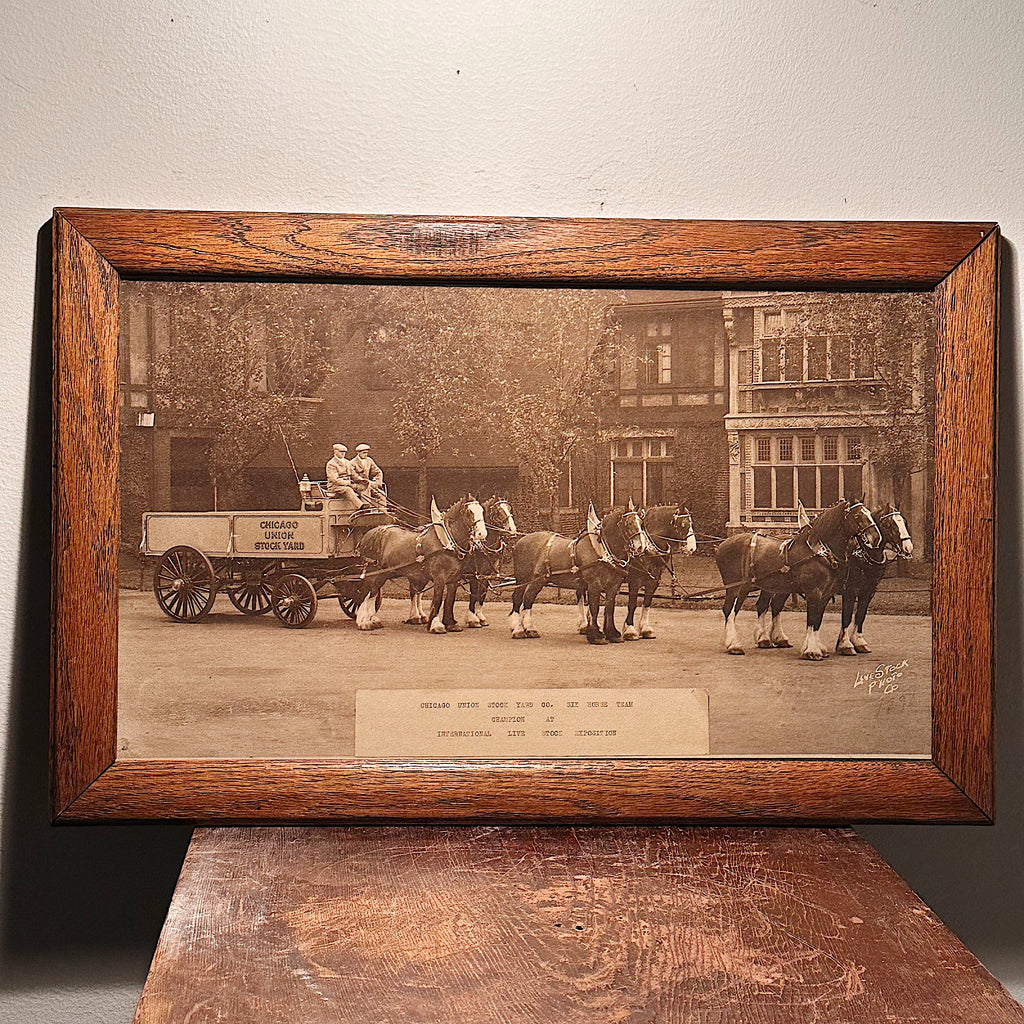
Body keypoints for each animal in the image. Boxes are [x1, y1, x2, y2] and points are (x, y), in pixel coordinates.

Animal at [356, 495, 487, 630]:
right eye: (469, 512)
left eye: (482, 510)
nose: (482, 534)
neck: (445, 541)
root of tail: (369, 534)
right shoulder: (439, 578)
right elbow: (438, 599)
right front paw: (436, 624)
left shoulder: (454, 579)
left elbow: (450, 600)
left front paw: (450, 623)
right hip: (374, 571)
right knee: (367, 593)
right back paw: (364, 621)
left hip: (383, 574)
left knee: (372, 593)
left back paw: (372, 620)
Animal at [462, 497, 516, 630]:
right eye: (498, 511)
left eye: (509, 508)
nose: (512, 530)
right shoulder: (474, 575)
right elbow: (474, 594)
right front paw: (472, 619)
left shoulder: (487, 574)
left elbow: (482, 594)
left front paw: (480, 617)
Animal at [509, 505, 651, 647]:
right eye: (628, 523)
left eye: (641, 523)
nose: (641, 547)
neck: (601, 549)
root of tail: (521, 541)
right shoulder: (594, 584)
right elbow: (594, 608)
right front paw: (596, 636)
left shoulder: (613, 585)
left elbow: (609, 608)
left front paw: (612, 634)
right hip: (525, 579)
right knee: (520, 598)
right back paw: (518, 629)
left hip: (538, 580)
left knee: (528, 599)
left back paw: (529, 629)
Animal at [716, 499, 884, 659]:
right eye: (857, 516)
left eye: (869, 514)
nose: (876, 538)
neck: (819, 552)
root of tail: (722, 545)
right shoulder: (816, 593)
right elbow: (812, 620)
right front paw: (812, 650)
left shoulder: (826, 595)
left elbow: (818, 620)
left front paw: (818, 648)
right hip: (735, 588)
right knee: (730, 610)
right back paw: (734, 645)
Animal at [835, 503, 917, 655]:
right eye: (891, 524)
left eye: (904, 522)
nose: (908, 547)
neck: (863, 554)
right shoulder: (850, 591)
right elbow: (847, 616)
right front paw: (845, 644)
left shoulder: (868, 591)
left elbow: (860, 615)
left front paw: (859, 642)